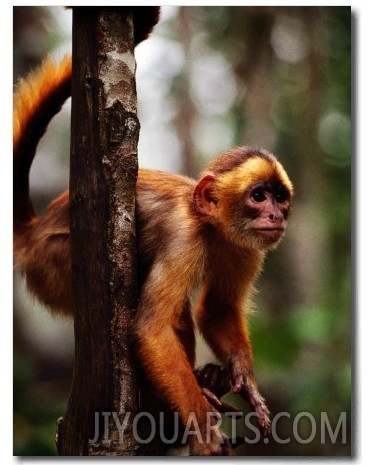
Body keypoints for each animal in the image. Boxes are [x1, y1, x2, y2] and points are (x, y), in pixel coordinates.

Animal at [13, 56, 294, 454]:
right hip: (53, 263)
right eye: (258, 196)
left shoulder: (246, 250)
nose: (275, 215)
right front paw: (202, 429)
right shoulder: (183, 236)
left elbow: (217, 309)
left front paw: (247, 383)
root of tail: (33, 233)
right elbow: (151, 329)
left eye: (279, 197)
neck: (210, 227)